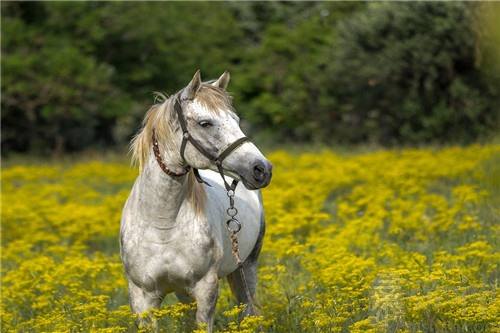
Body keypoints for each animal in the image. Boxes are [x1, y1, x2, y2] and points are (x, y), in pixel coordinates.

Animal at [119, 69, 272, 330]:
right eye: (205, 123)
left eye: (236, 120)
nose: (262, 169)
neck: (163, 223)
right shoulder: (142, 298)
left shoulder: (205, 289)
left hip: (247, 267)